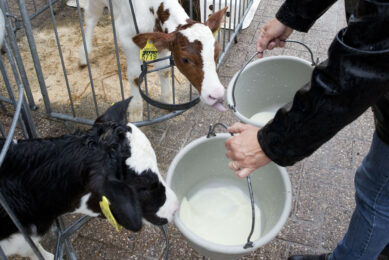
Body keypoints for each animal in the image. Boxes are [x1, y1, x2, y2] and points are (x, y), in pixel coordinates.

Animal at [79, 0, 226, 121]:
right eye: (185, 59)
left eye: (217, 52)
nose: (217, 94)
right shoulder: (126, 37)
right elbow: (134, 76)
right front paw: (135, 114)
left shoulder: (161, 40)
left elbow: (164, 70)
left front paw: (168, 101)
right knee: (91, 16)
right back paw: (83, 56)